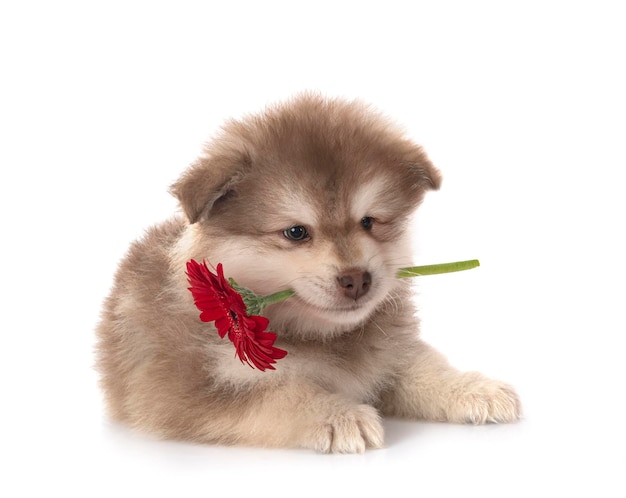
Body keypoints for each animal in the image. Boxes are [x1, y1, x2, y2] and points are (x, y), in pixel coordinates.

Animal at [96, 92, 516, 452]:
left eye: (368, 222)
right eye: (296, 232)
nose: (357, 279)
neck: (315, 335)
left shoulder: (387, 355)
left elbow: (422, 368)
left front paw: (473, 388)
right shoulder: (191, 390)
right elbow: (281, 393)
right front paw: (339, 415)